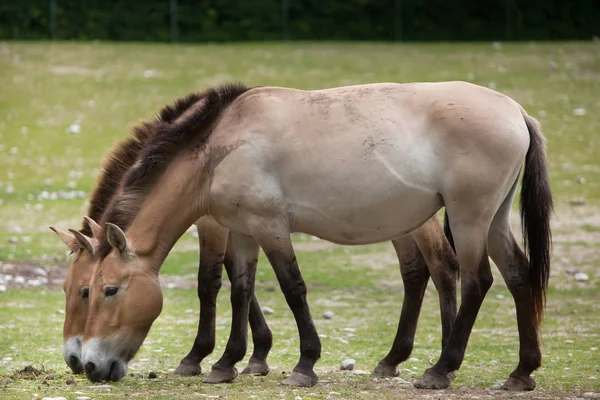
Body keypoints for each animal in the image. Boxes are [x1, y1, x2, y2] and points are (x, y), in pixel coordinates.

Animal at [82, 81, 552, 390]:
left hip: (469, 219)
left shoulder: (269, 228)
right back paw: (520, 372)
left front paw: (304, 364)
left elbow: (293, 288)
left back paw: (440, 370)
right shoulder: (243, 232)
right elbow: (240, 290)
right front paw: (227, 363)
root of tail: (516, 111)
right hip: (493, 220)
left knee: (477, 281)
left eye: (107, 290)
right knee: (518, 275)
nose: (87, 365)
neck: (220, 149)